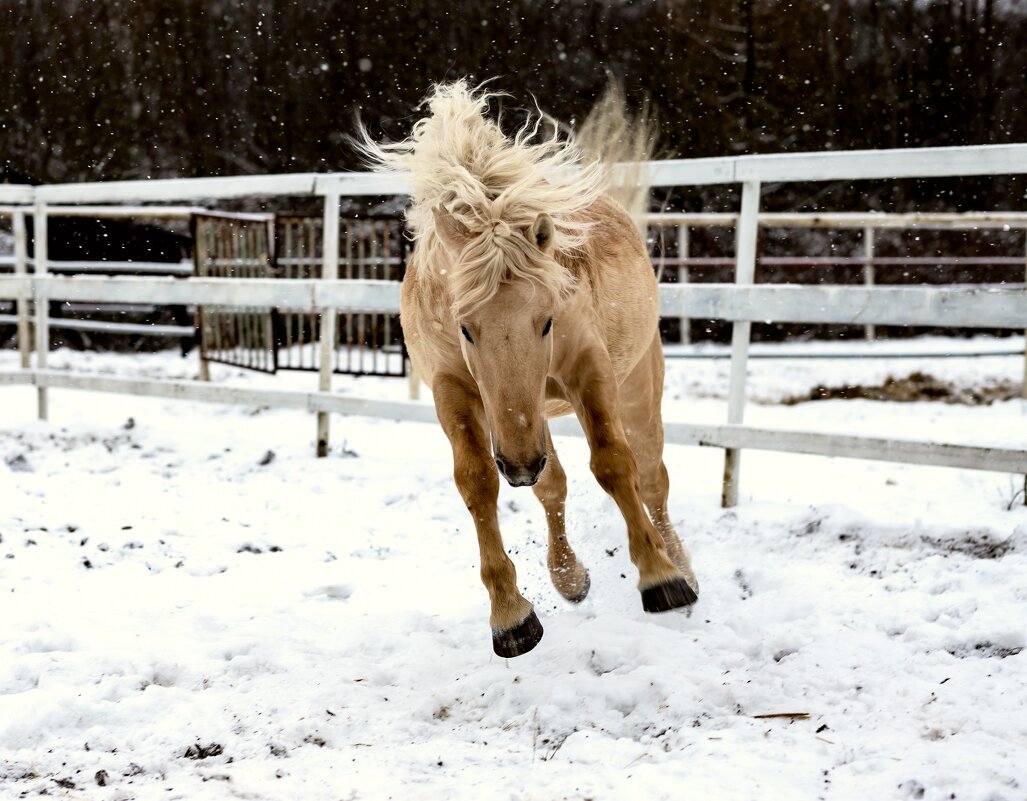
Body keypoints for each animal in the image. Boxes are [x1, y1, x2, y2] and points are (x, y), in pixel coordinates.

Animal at [361, 82, 698, 657]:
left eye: (547, 321)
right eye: (465, 327)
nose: (519, 465)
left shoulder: (588, 370)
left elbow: (613, 464)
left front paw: (660, 578)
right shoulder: (454, 391)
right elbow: (477, 483)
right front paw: (511, 618)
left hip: (634, 388)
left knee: (652, 478)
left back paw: (681, 566)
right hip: (531, 418)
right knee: (553, 486)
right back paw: (570, 578)